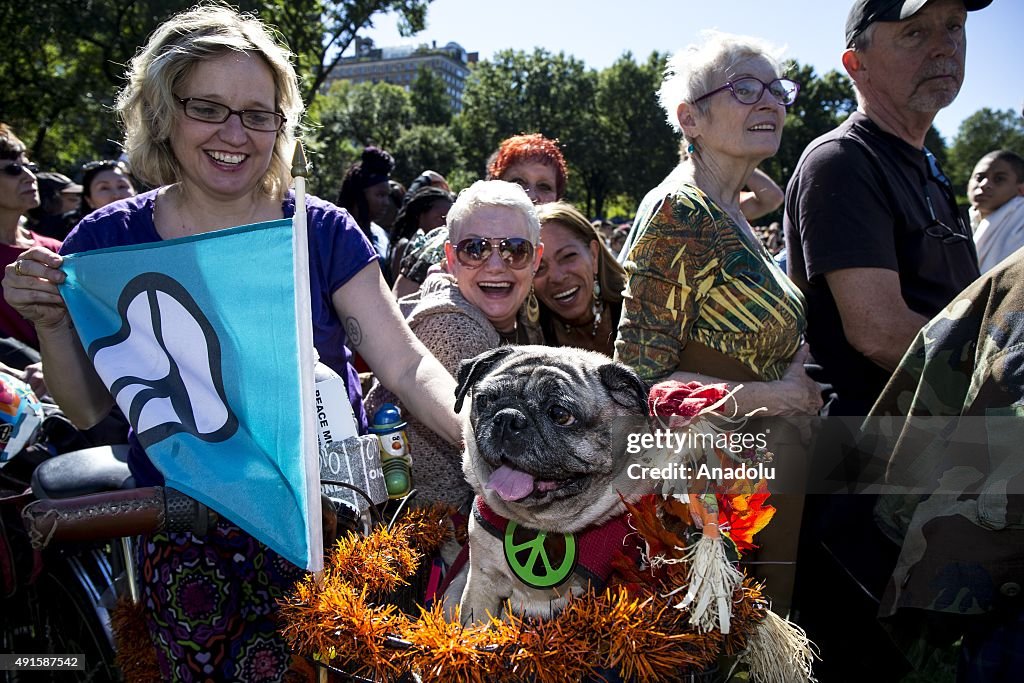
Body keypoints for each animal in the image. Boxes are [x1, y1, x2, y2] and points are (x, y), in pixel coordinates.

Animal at [454, 348, 647, 626]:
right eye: (485, 400)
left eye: (560, 414)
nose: (508, 417)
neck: (540, 524)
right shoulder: (481, 582)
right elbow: (474, 627)